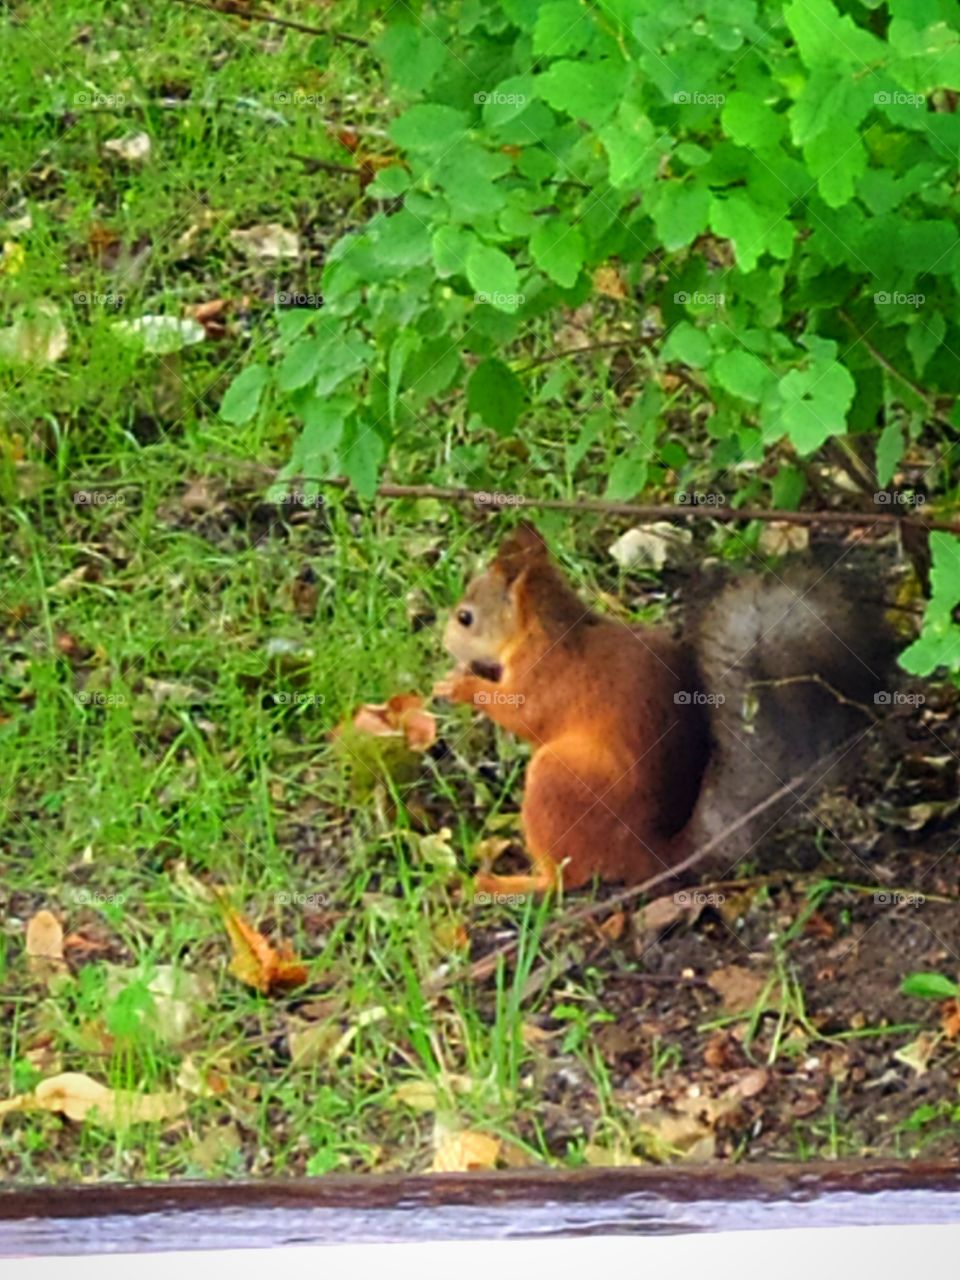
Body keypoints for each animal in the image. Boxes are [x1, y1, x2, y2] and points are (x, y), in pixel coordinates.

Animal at [434, 522, 893, 896]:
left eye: (465, 617)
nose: (444, 643)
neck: (549, 631)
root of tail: (651, 852)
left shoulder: (544, 678)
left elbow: (523, 716)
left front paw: (459, 685)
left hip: (556, 779)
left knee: (566, 880)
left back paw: (505, 882)